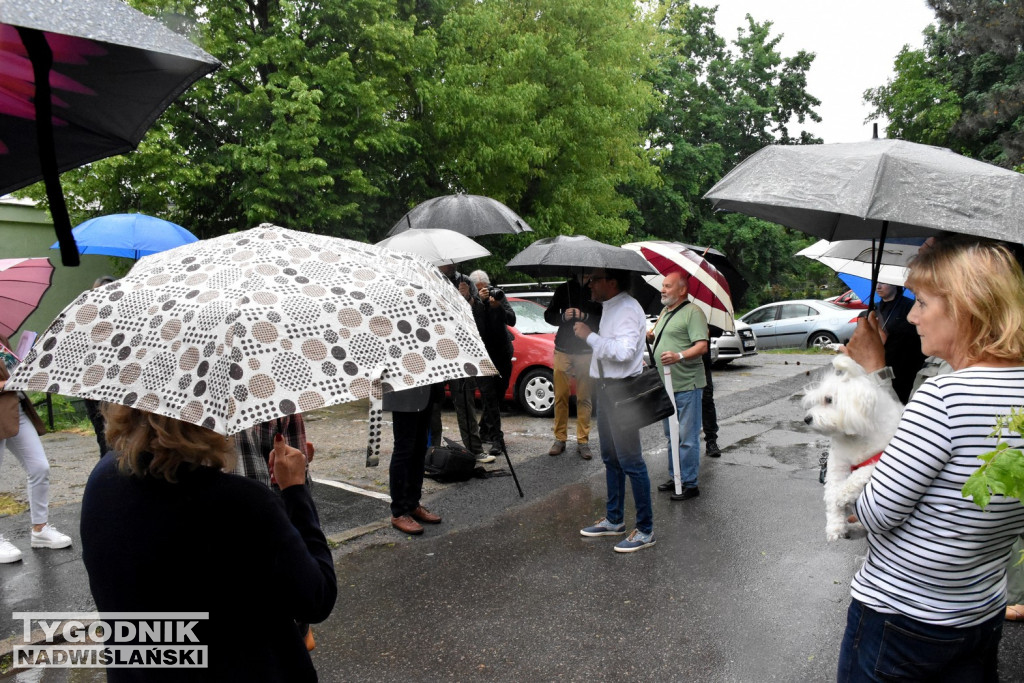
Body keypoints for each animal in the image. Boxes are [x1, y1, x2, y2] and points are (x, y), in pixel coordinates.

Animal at [798, 356, 905, 540]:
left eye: (829, 399)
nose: (807, 419)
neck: (856, 435)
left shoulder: (879, 459)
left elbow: (858, 475)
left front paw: (843, 495)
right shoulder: (837, 464)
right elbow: (832, 490)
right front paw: (835, 526)